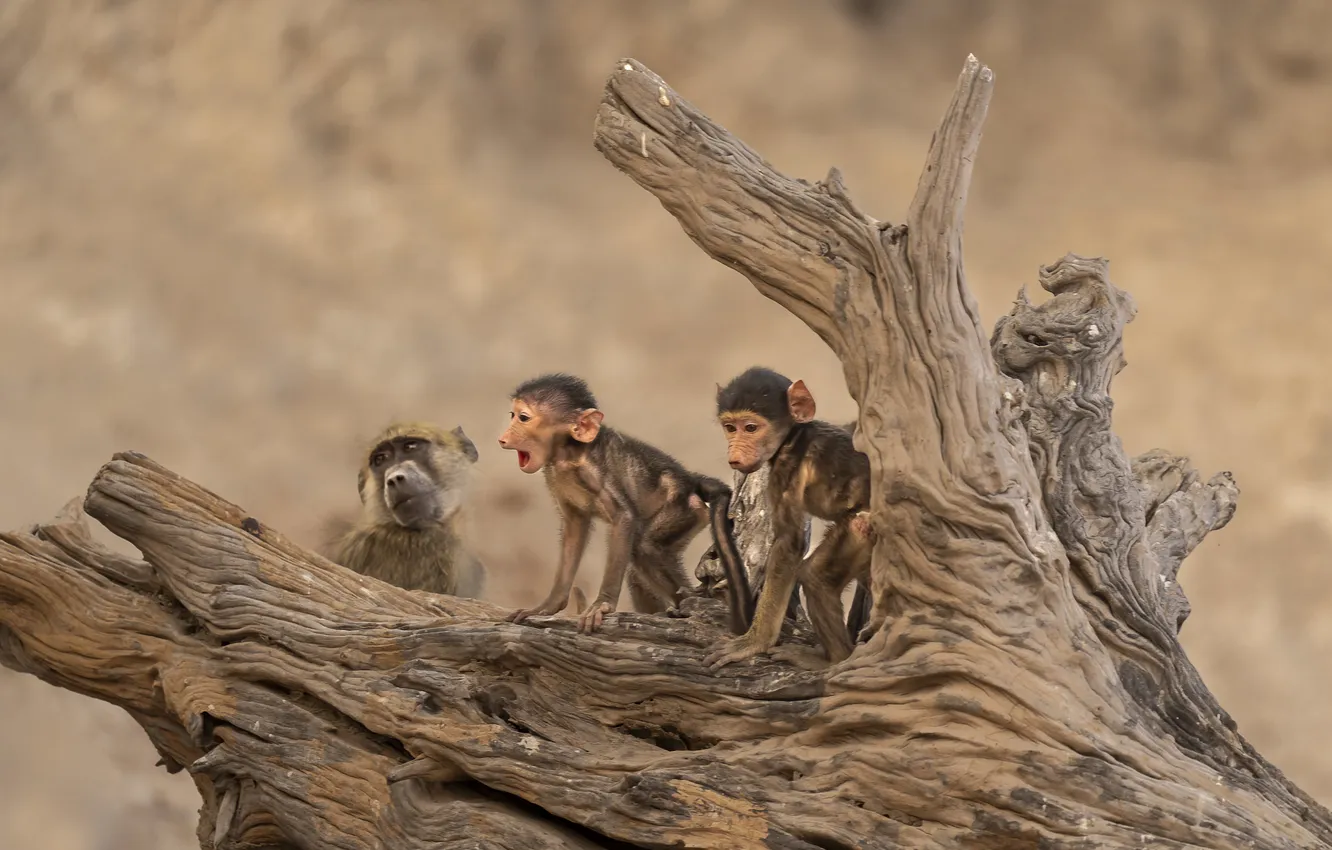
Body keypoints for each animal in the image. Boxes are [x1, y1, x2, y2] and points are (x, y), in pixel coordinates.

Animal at [497, 373, 735, 634]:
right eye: (512, 415)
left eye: (523, 418)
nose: (503, 438)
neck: (570, 453)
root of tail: (691, 480)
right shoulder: (555, 478)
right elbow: (574, 529)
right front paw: (547, 607)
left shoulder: (593, 471)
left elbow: (624, 517)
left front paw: (602, 605)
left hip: (685, 509)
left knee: (644, 547)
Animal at [703, 367, 876, 669]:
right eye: (730, 427)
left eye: (751, 428)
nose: (734, 453)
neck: (794, 435)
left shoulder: (787, 467)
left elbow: (789, 543)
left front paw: (754, 642)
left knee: (817, 576)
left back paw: (834, 660)